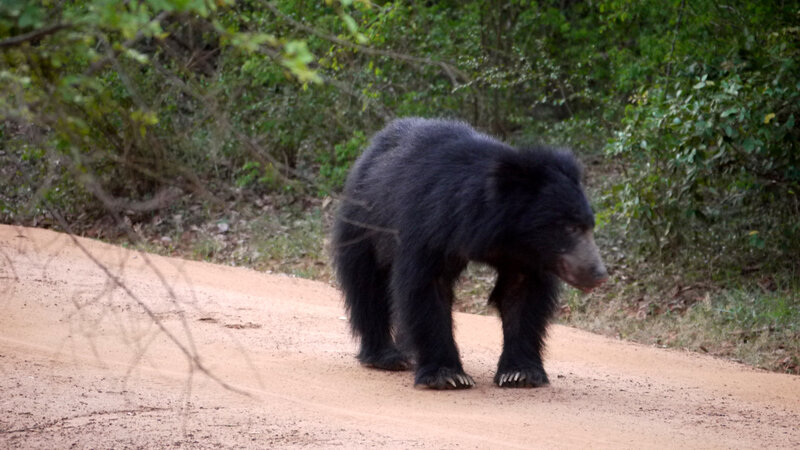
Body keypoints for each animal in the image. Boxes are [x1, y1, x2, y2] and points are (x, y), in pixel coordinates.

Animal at [331, 118, 608, 390]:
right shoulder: (429, 225)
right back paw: (387, 357)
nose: (599, 274)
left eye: (590, 226)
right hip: (363, 226)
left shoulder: (524, 256)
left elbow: (522, 294)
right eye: (570, 228)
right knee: (367, 288)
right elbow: (426, 288)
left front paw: (519, 373)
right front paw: (448, 375)